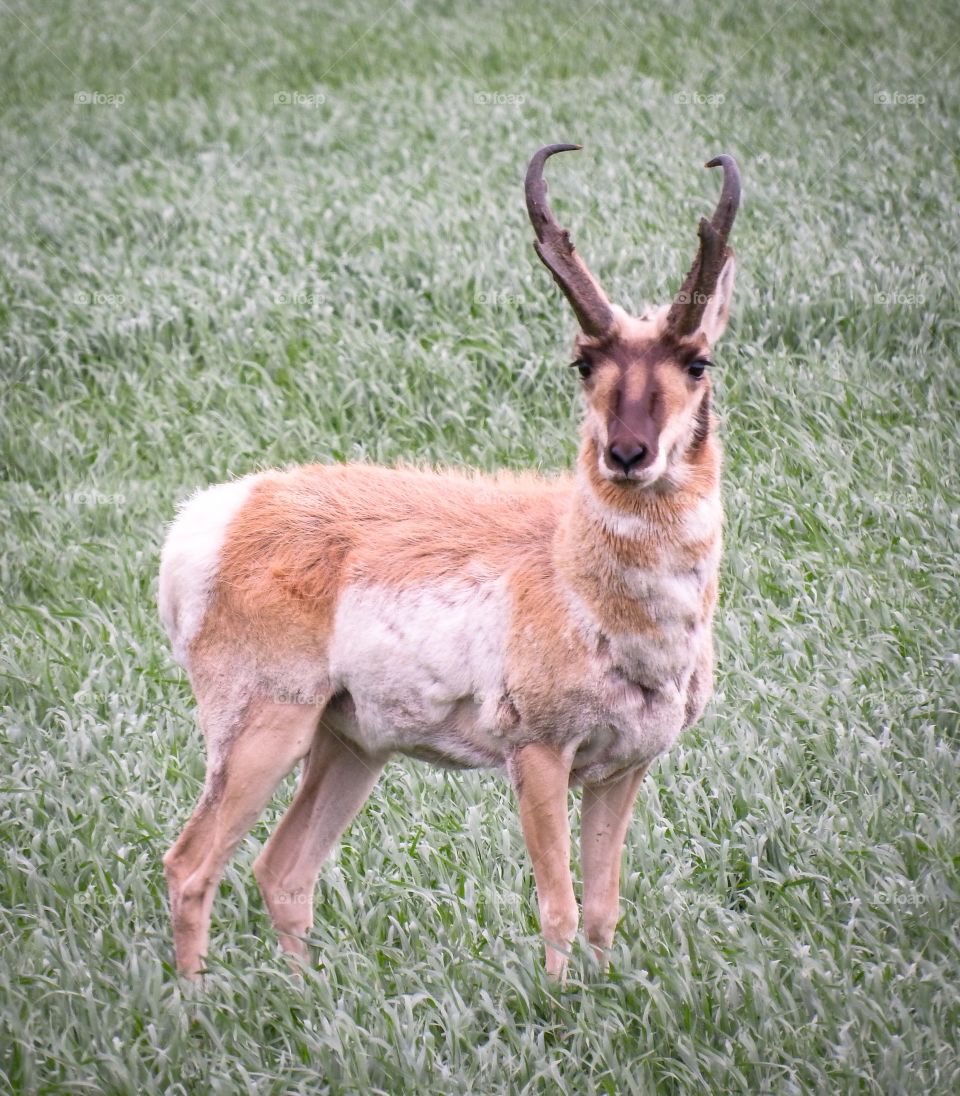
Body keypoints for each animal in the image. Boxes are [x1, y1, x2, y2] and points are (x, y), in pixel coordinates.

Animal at [158, 143, 740, 981]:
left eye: (698, 362)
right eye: (583, 361)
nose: (627, 454)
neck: (573, 576)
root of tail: (216, 516)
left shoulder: (624, 767)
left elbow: (603, 910)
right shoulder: (538, 754)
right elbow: (559, 909)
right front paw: (561, 1003)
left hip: (350, 744)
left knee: (282, 869)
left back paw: (304, 994)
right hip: (265, 727)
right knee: (191, 865)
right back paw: (197, 1000)